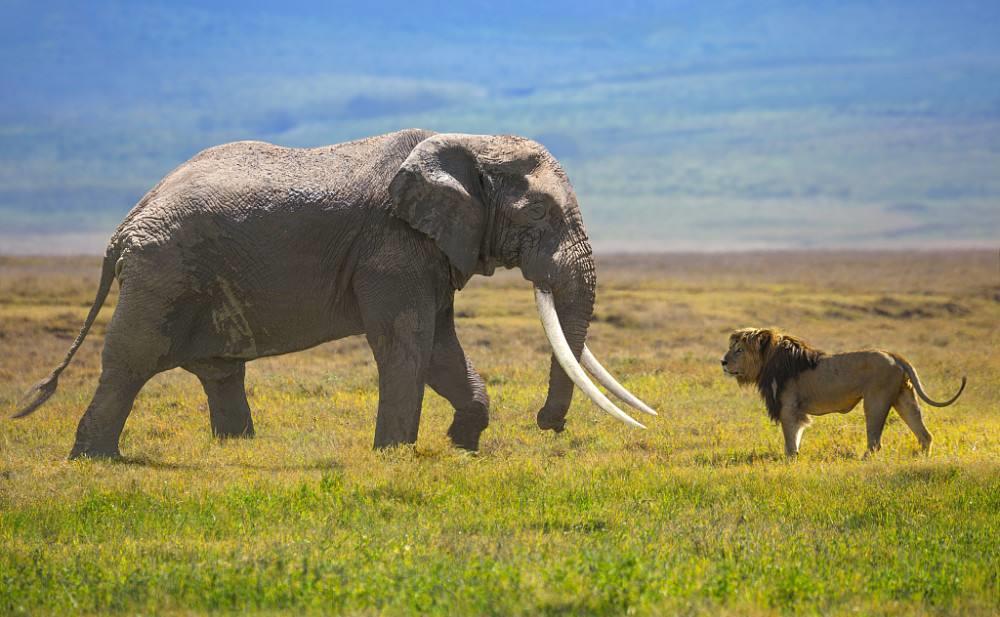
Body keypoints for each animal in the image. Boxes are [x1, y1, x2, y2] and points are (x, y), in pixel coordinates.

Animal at [17, 129, 656, 458]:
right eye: (541, 212)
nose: (547, 426)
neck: (467, 141)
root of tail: (126, 224)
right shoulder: (393, 247)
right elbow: (408, 342)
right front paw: (394, 455)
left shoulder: (428, 250)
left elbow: (441, 347)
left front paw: (463, 444)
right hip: (163, 272)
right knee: (131, 360)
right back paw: (94, 459)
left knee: (220, 370)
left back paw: (240, 451)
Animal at [724, 328, 964, 458]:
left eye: (739, 350)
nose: (722, 362)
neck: (767, 362)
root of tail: (894, 355)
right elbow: (795, 437)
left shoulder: (789, 408)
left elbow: (791, 440)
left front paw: (790, 460)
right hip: (904, 397)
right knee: (925, 434)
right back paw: (922, 456)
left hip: (875, 400)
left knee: (875, 442)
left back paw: (864, 458)